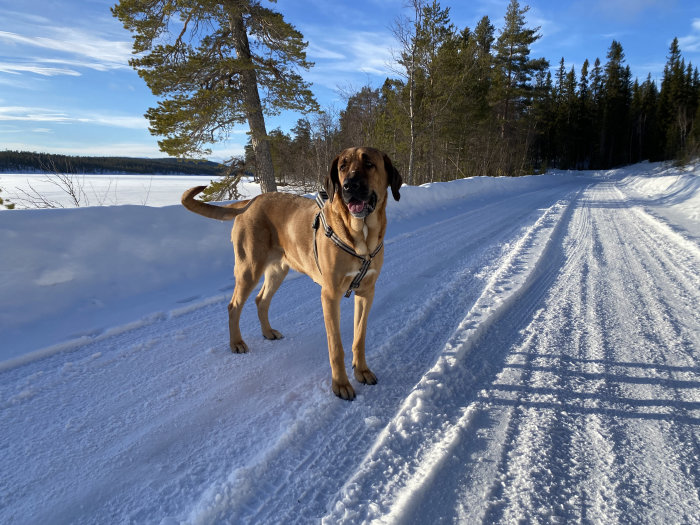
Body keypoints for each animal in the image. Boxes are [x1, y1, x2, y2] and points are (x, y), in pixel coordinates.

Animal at [180, 145, 402, 400]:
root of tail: (252, 200)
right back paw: (236, 342)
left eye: (369, 164)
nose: (349, 186)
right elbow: (336, 346)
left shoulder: (367, 292)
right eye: (342, 166)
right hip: (249, 268)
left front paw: (362, 370)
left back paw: (267, 332)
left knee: (261, 300)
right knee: (234, 305)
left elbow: (359, 337)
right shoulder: (330, 296)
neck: (360, 236)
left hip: (277, 270)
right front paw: (340, 384)